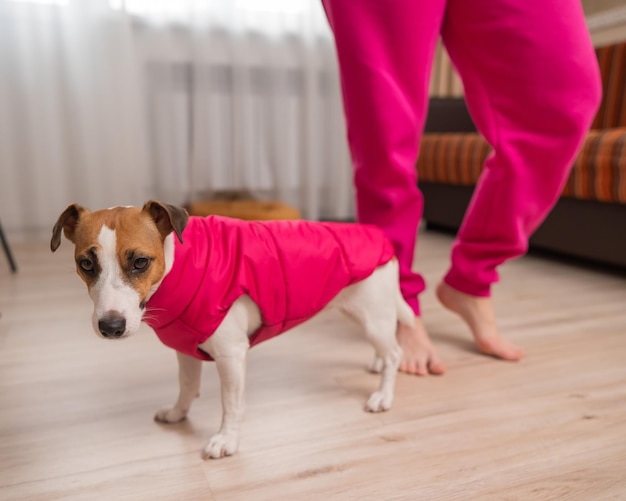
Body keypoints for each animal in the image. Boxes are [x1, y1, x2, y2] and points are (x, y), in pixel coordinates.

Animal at [51, 199, 412, 458]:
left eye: (140, 262)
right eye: (86, 264)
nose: (111, 326)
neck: (178, 266)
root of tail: (378, 236)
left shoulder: (231, 356)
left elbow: (231, 404)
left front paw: (226, 440)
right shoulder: (185, 349)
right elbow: (187, 386)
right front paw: (178, 413)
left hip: (371, 316)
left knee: (395, 351)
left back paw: (383, 393)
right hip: (362, 313)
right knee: (384, 347)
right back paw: (377, 364)